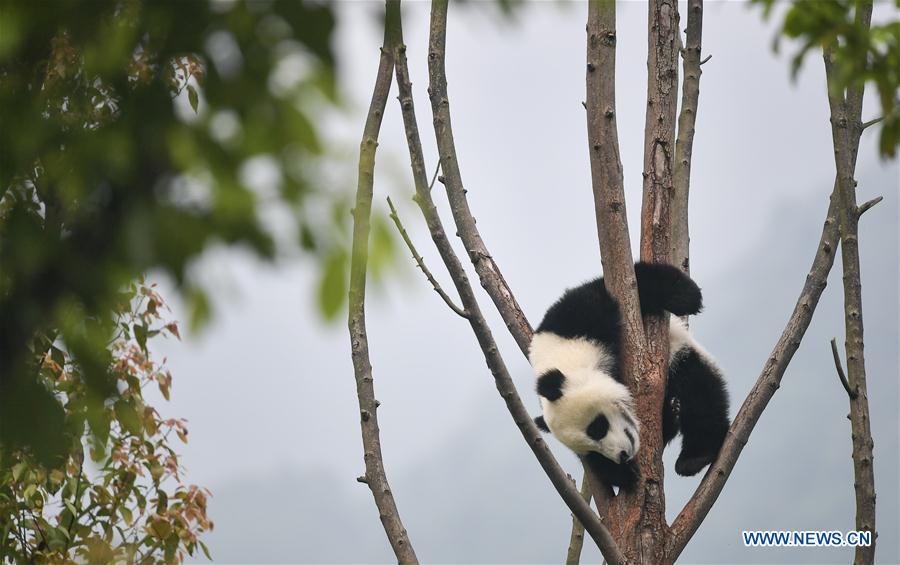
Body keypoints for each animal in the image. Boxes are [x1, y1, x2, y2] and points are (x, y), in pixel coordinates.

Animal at [530, 261, 730, 490]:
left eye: (597, 428)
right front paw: (624, 474)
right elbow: (597, 466)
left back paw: (695, 457)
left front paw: (685, 297)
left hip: (679, 356)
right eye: (592, 448)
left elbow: (633, 284)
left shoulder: (580, 316)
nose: (622, 456)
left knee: (699, 391)